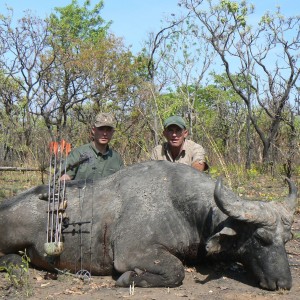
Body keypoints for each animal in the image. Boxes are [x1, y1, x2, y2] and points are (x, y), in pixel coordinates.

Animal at [0, 162, 296, 290]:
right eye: (261, 239)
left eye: (286, 239)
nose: (284, 284)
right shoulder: (133, 253)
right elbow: (176, 271)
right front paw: (128, 279)